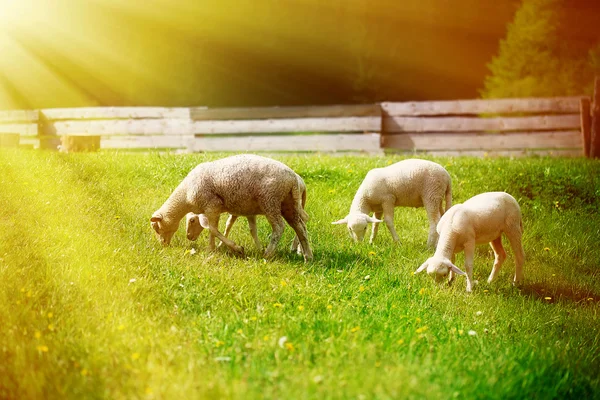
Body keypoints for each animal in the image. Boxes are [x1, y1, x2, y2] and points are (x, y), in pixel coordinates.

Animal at [149, 154, 314, 262]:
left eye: (192, 221)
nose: (163, 245)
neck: (185, 195)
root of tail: (293, 178)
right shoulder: (217, 209)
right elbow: (219, 228)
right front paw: (213, 248)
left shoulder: (212, 205)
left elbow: (213, 229)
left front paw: (234, 248)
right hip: (288, 204)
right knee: (300, 227)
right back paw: (307, 256)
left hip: (270, 200)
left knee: (279, 227)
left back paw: (268, 254)